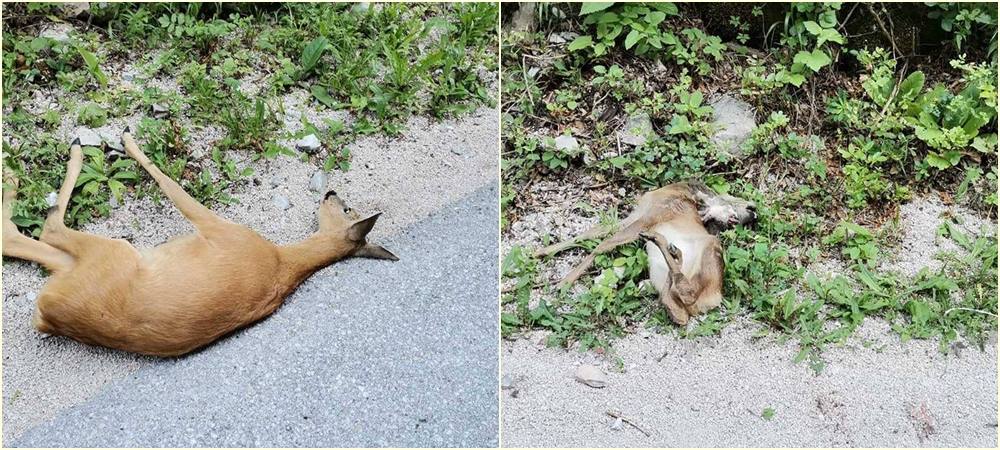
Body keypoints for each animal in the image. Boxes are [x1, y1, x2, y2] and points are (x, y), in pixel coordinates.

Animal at [1, 129, 396, 356]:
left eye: (346, 208)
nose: (330, 191)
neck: (284, 261)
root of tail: (49, 314)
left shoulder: (221, 229)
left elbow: (174, 187)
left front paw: (130, 143)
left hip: (111, 254)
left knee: (46, 227)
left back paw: (59, 156)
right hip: (81, 266)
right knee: (21, 238)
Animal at [536, 181, 752, 326]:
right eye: (733, 197)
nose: (753, 211)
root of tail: (713, 300)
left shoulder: (649, 217)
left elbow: (603, 244)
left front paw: (564, 282)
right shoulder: (638, 215)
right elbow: (591, 234)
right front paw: (540, 252)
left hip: (711, 247)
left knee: (686, 296)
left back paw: (665, 245)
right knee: (676, 309)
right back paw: (669, 250)